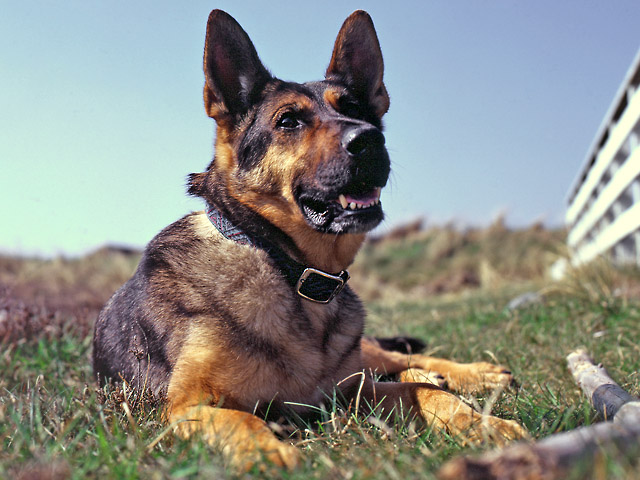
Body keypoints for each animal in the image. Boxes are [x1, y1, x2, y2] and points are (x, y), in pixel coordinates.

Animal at [94, 8, 524, 472]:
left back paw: (471, 373)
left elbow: (427, 394)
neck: (287, 267)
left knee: (402, 361)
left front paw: (483, 424)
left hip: (365, 354)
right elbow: (241, 421)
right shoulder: (190, 405)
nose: (369, 139)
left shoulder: (348, 392)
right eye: (288, 121)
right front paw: (269, 455)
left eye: (355, 110)